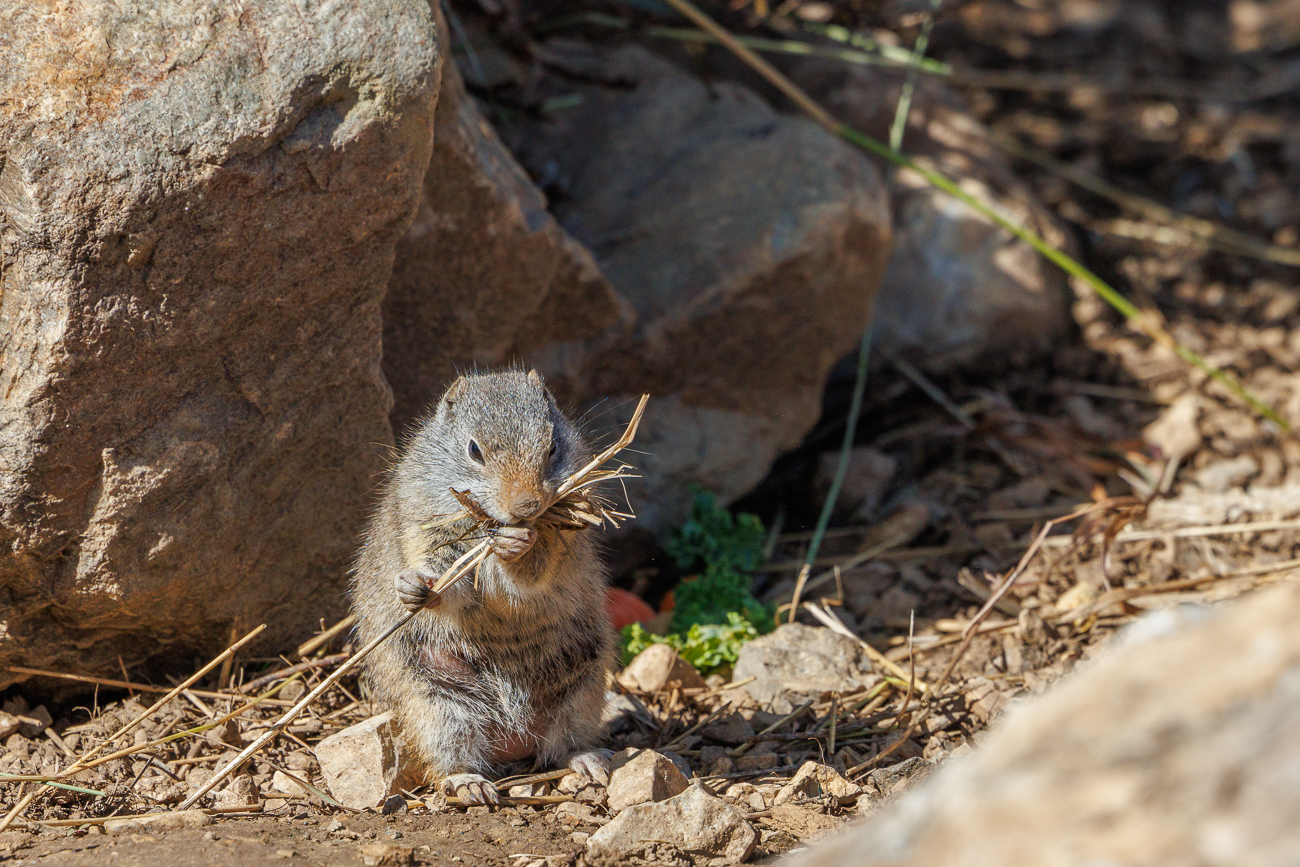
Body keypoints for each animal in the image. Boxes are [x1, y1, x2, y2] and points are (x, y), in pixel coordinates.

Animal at [353, 369, 616, 805]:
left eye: (553, 447)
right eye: (474, 450)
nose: (527, 506)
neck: (490, 525)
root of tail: (512, 739)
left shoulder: (560, 544)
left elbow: (533, 572)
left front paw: (516, 548)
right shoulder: (425, 532)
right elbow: (449, 584)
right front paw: (413, 586)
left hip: (584, 684)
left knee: (564, 743)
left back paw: (589, 760)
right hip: (437, 705)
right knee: (452, 755)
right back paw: (469, 782)